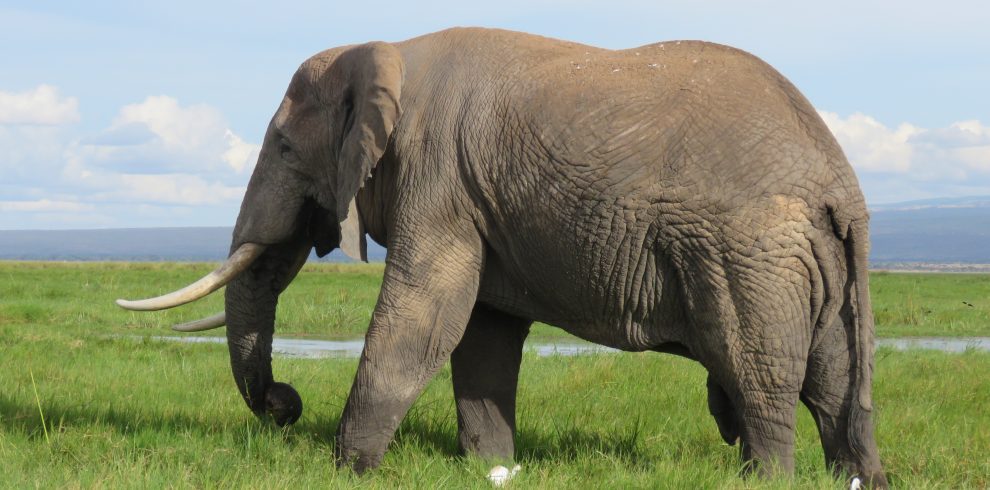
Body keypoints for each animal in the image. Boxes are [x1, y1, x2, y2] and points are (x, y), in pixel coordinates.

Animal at [118, 28, 892, 488]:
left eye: (281, 147)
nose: (285, 403)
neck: (386, 49)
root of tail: (841, 184)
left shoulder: (437, 176)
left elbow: (425, 313)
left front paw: (349, 470)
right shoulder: (472, 196)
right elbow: (482, 334)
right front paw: (491, 466)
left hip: (748, 257)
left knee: (759, 376)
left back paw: (766, 479)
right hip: (809, 261)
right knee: (829, 381)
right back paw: (858, 478)